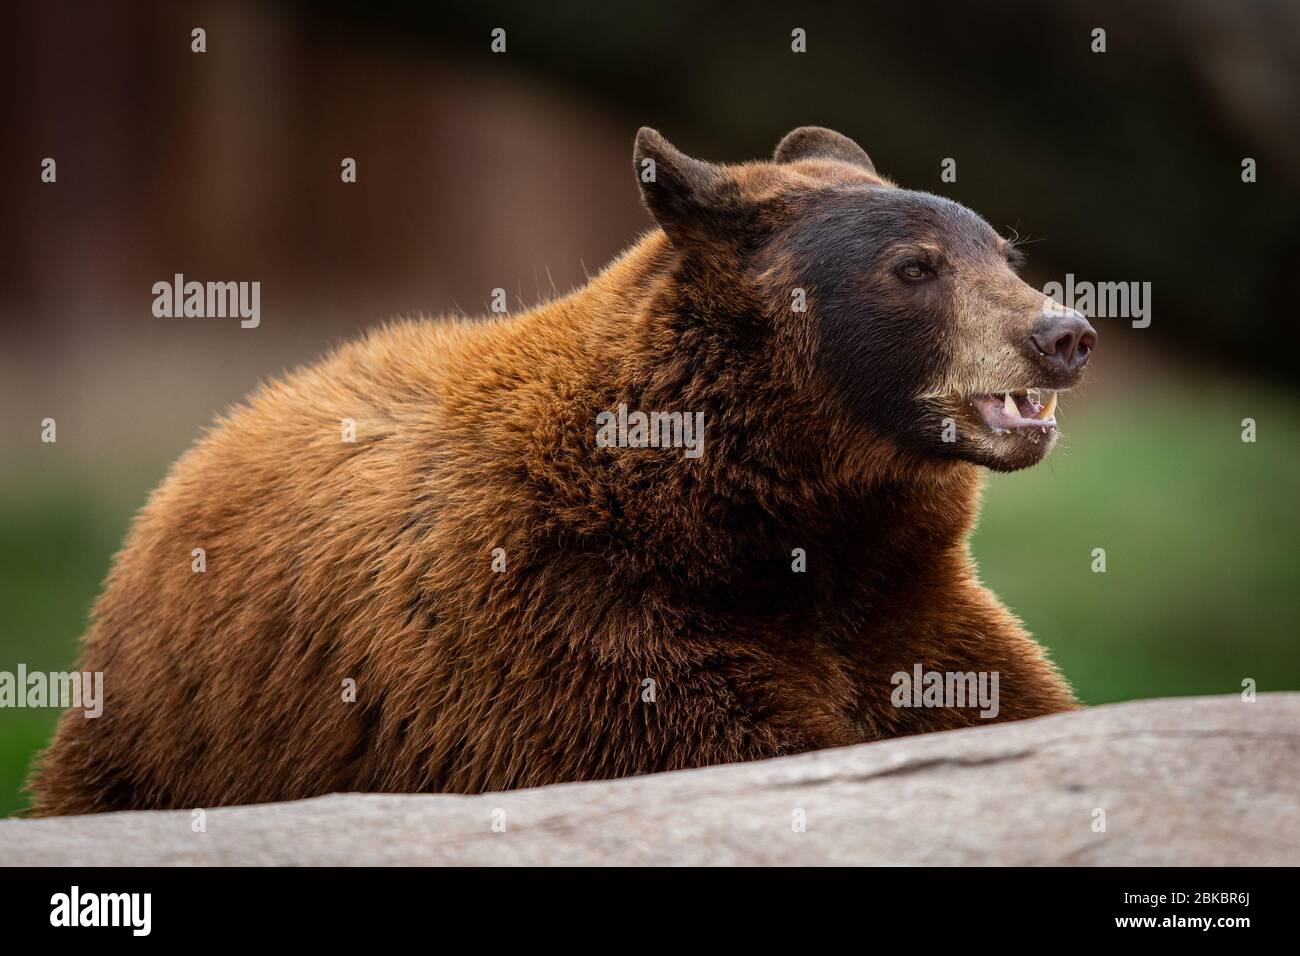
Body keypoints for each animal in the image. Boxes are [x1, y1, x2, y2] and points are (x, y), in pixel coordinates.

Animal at [27, 125, 1097, 816]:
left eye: (1003, 252)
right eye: (915, 267)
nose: (1064, 334)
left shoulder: (911, 606)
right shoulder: (571, 630)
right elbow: (700, 738)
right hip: (172, 742)